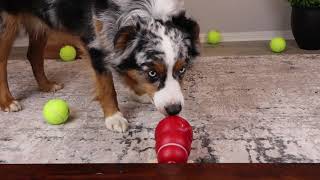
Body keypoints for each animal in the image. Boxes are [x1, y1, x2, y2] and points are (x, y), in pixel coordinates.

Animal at [0, 0, 200, 132]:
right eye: (152, 73)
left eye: (182, 69)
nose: (174, 110)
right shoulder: (96, 40)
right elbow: (107, 86)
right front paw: (114, 117)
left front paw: (138, 93)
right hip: (5, 23)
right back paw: (8, 102)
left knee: (33, 54)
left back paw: (46, 85)